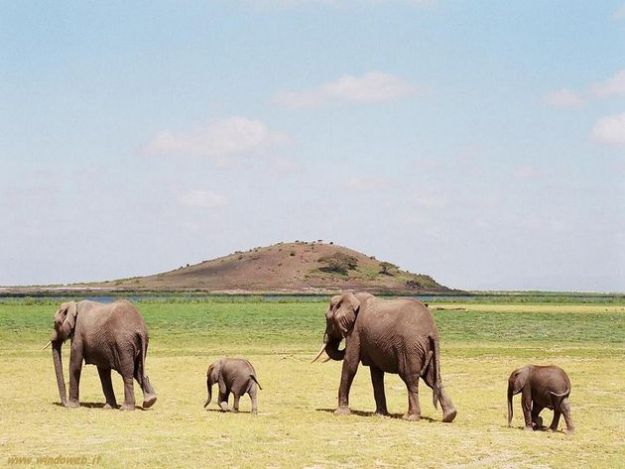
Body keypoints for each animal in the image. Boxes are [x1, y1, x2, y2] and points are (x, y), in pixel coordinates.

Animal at [310, 290, 454, 422]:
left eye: (327, 318)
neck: (350, 296)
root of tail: (431, 330)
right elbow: (376, 374)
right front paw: (380, 414)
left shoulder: (355, 331)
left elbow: (350, 364)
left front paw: (340, 413)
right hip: (427, 348)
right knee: (431, 378)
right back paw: (450, 416)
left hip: (409, 347)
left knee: (410, 378)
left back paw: (411, 417)